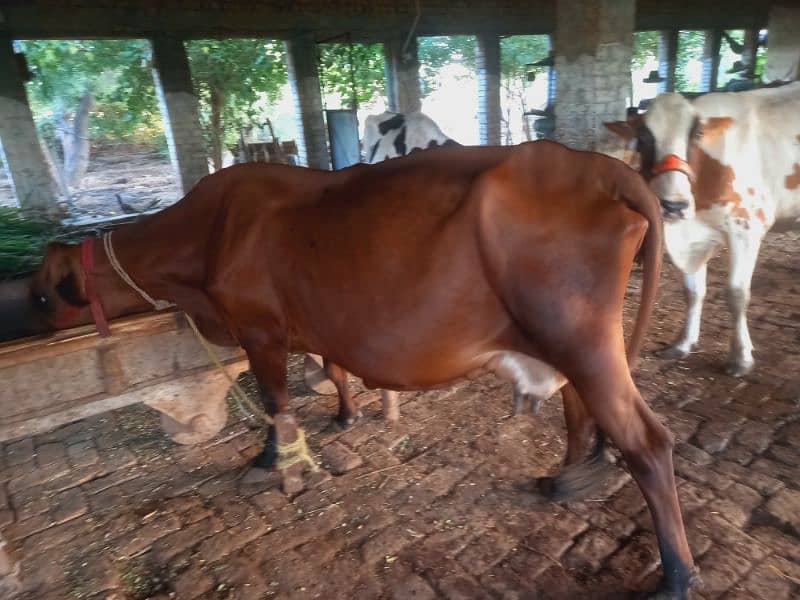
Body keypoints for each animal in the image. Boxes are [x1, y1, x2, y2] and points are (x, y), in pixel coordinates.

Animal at [29, 142, 692, 596]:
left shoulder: (259, 329)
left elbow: (274, 402)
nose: (35, 320)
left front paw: (271, 462)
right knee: (581, 412)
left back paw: (676, 575)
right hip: (570, 343)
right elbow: (335, 368)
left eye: (40, 292)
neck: (207, 238)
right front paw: (346, 417)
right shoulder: (314, 323)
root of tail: (596, 165)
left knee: (648, 441)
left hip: (581, 339)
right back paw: (569, 478)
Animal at [608, 83, 800, 376]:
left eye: (696, 135)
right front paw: (683, 344)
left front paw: (741, 357)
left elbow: (737, 293)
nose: (673, 205)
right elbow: (693, 292)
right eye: (643, 138)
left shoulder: (747, 228)